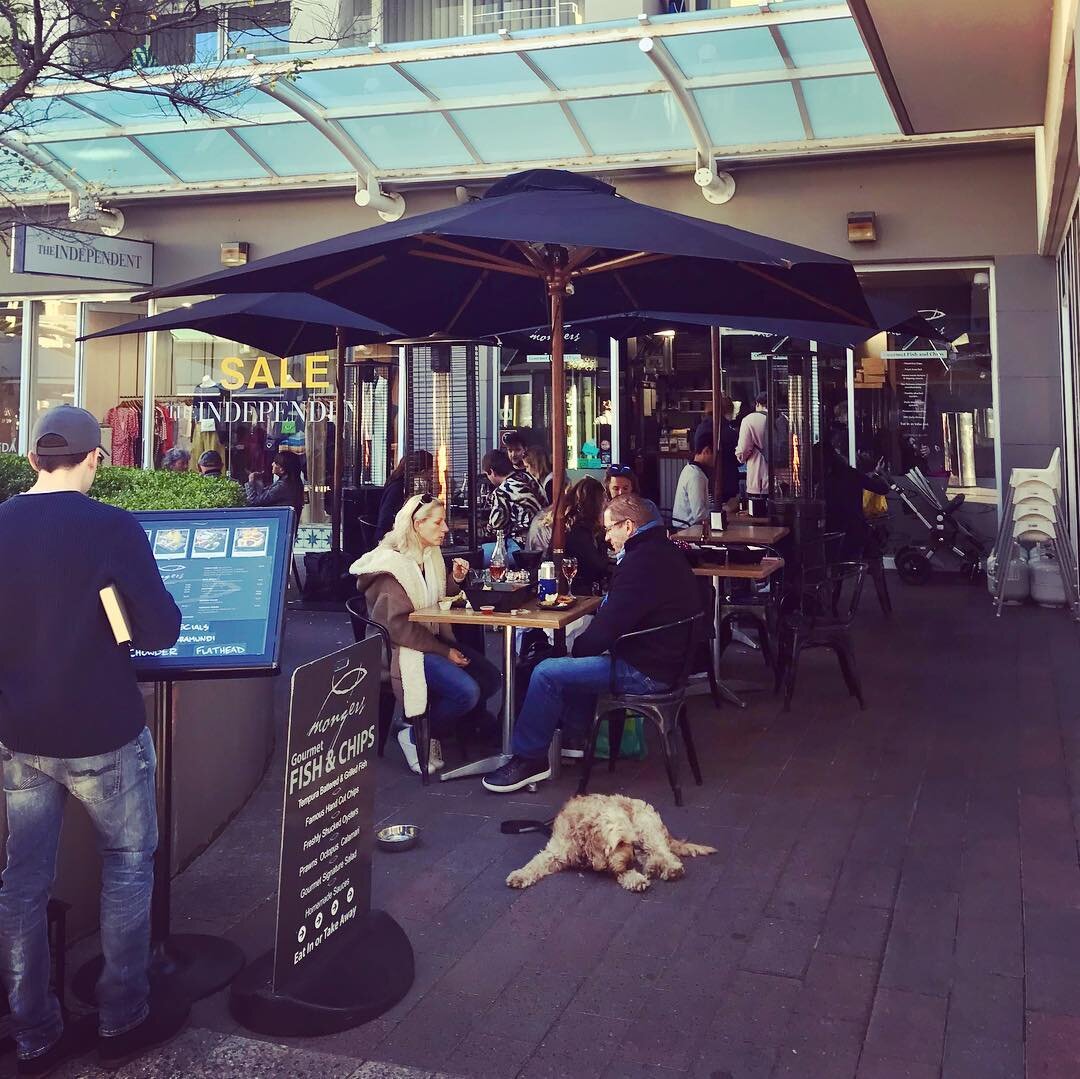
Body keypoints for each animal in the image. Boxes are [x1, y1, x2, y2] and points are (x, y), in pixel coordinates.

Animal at [505, 794, 717, 894]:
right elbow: (535, 864)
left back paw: (671, 869)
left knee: (663, 852)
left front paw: (635, 878)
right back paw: (653, 868)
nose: (631, 863)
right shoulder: (554, 851)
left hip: (647, 828)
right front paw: (520, 875)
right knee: (650, 857)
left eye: (630, 843)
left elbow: (620, 869)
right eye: (620, 842)